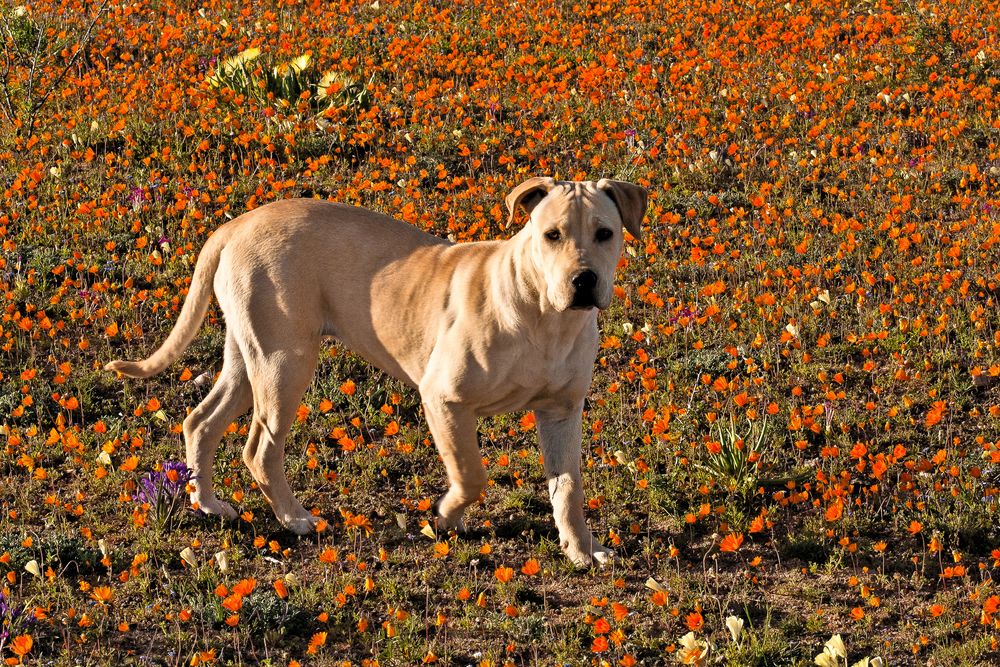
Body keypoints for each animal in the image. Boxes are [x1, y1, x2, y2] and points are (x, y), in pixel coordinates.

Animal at [105, 177, 644, 568]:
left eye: (605, 233)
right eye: (551, 235)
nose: (583, 280)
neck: (546, 316)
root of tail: (234, 226)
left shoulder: (561, 412)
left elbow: (568, 488)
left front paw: (581, 549)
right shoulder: (443, 397)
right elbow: (471, 474)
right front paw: (446, 517)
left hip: (249, 356)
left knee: (201, 421)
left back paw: (209, 505)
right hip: (284, 364)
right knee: (259, 448)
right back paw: (294, 519)